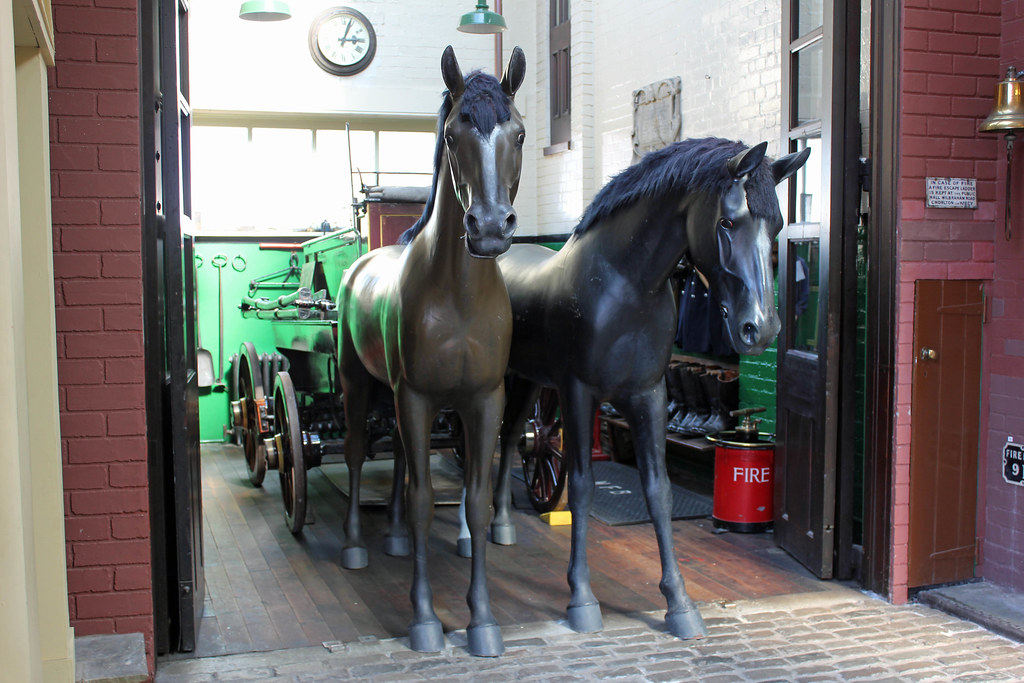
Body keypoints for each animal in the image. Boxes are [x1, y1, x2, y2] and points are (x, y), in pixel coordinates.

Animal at [336, 45, 526, 657]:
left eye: (518, 131)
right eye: (456, 129)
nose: (489, 227)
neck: (458, 298)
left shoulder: (483, 401)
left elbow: (475, 500)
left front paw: (482, 622)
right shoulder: (415, 397)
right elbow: (424, 501)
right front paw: (424, 620)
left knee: (396, 456)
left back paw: (393, 535)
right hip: (358, 384)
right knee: (355, 454)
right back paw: (356, 545)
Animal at [459, 137, 810, 640]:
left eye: (778, 225)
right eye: (727, 221)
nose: (760, 329)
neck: (624, 286)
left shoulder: (649, 396)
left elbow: (658, 490)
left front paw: (679, 603)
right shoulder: (578, 394)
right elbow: (583, 486)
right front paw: (581, 598)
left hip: (528, 380)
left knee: (512, 439)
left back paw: (503, 523)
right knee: (479, 448)